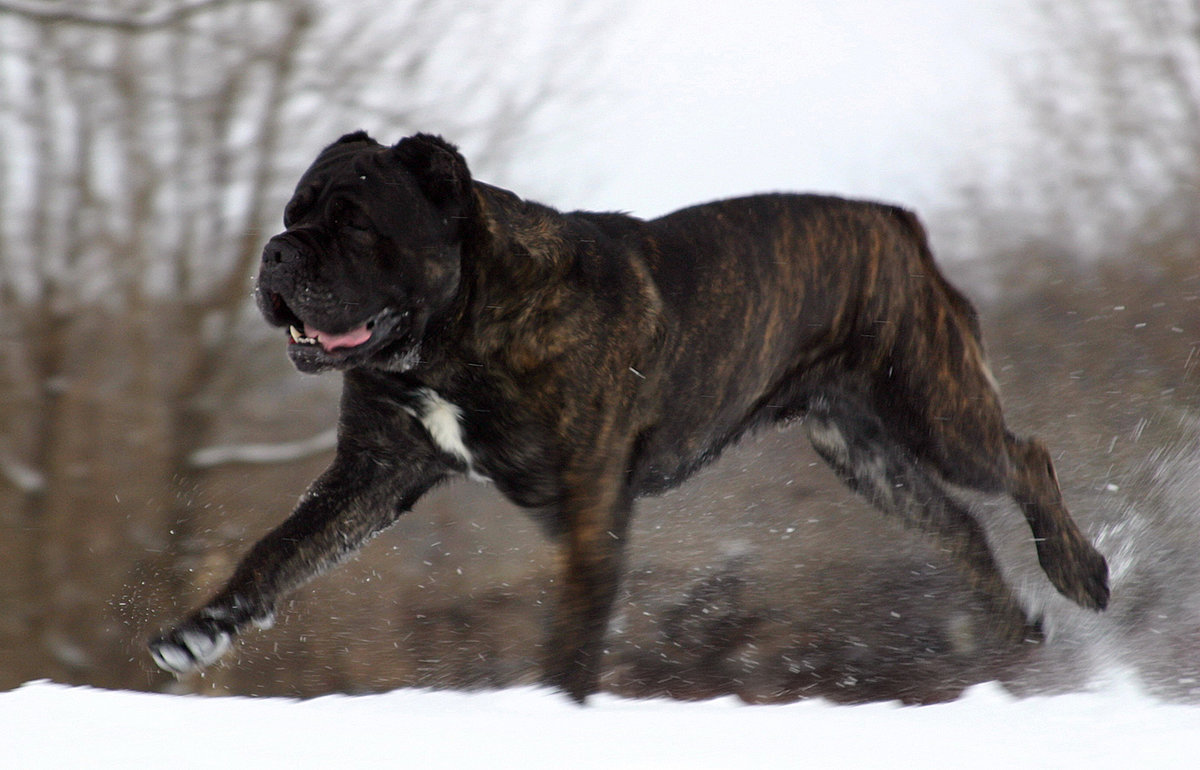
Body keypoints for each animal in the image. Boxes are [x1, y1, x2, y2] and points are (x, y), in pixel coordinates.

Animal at [150, 133, 1104, 700]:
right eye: (292, 214)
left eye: (352, 223)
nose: (276, 252)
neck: (456, 334)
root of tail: (897, 224)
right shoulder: (370, 473)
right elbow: (278, 552)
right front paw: (200, 631)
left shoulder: (590, 507)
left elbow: (572, 636)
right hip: (865, 453)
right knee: (959, 528)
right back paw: (1014, 626)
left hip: (935, 408)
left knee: (1028, 459)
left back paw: (1080, 571)